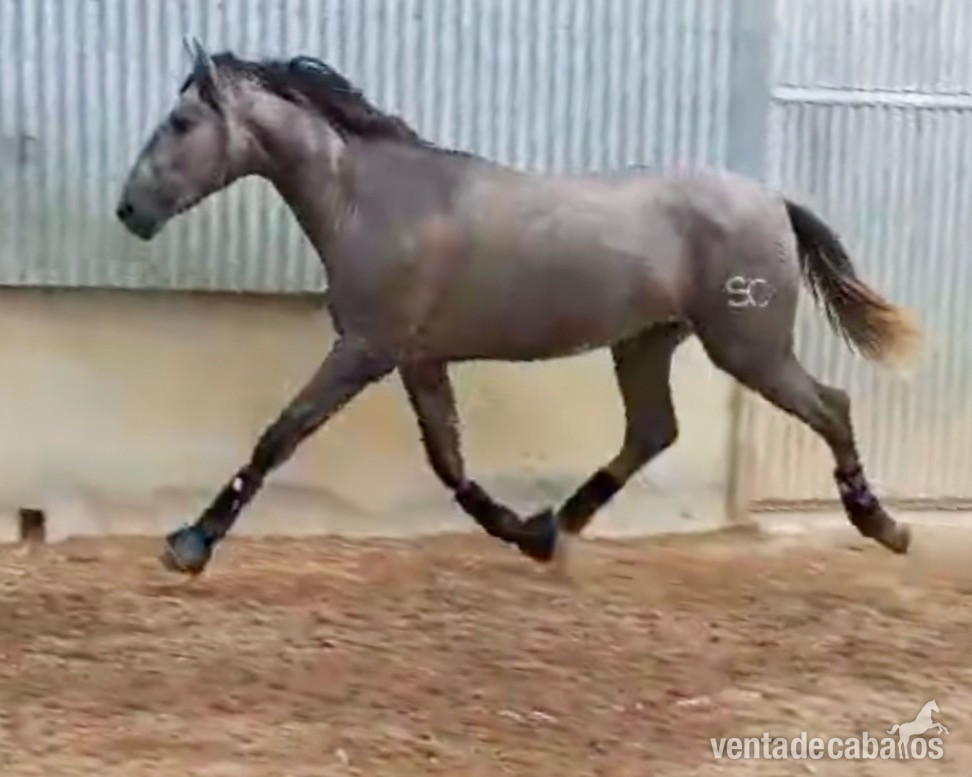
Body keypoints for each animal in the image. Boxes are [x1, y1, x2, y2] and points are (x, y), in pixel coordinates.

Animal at [116, 39, 920, 577]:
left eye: (181, 122)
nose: (129, 210)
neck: (371, 200)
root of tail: (771, 199)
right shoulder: (418, 358)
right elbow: (449, 462)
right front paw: (525, 531)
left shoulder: (366, 349)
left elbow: (281, 435)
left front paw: (189, 543)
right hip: (646, 341)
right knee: (654, 430)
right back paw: (564, 524)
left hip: (747, 346)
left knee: (832, 404)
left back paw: (883, 524)